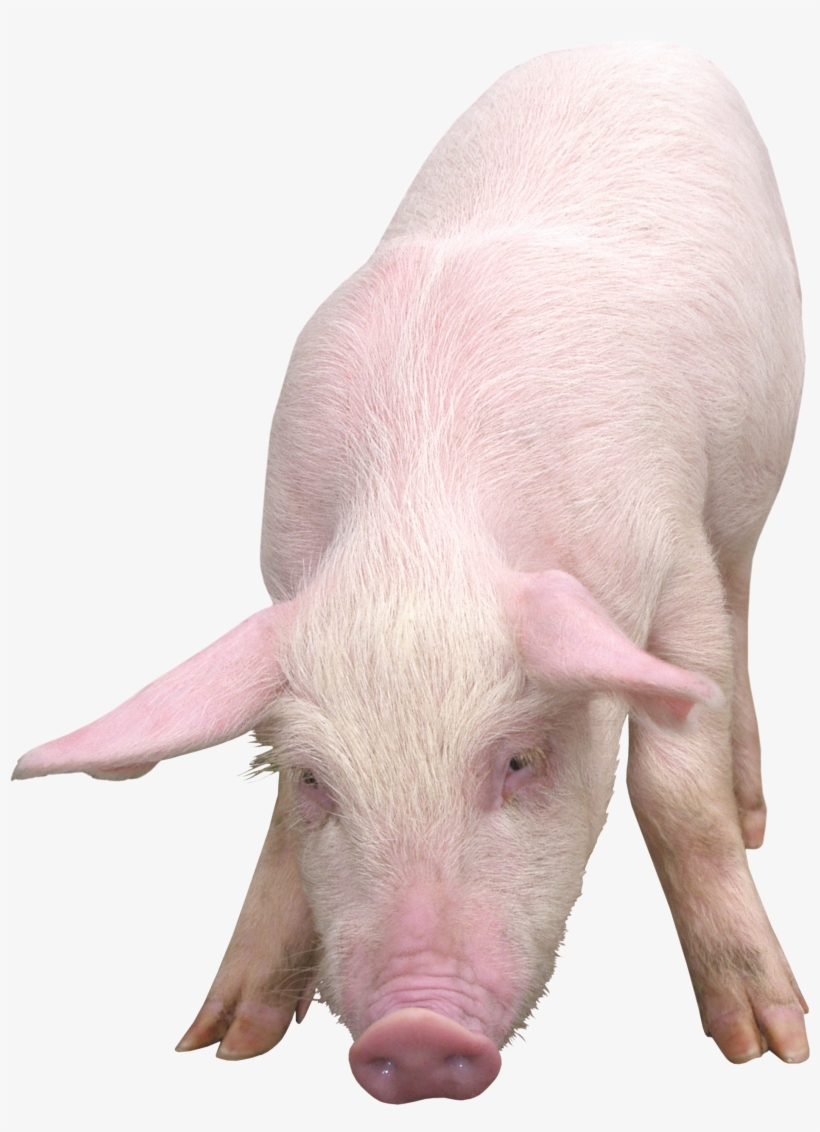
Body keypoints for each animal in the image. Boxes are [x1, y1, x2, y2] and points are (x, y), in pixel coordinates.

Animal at [13, 42, 809, 1103]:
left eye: (518, 760)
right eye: (316, 777)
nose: (419, 1035)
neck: (416, 527)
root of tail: (626, 39)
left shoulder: (670, 546)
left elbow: (678, 793)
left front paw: (768, 1046)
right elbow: (274, 830)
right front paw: (223, 1041)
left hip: (753, 477)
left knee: (745, 601)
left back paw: (756, 810)